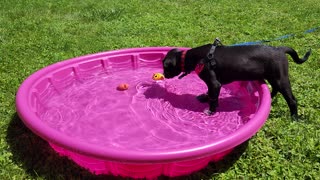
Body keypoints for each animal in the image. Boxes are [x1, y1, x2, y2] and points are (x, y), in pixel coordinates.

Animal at [162, 40, 310, 117]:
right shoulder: (213, 84)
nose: (164, 75)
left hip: (281, 79)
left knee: (292, 100)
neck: (194, 57)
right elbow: (210, 94)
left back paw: (294, 118)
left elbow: (213, 98)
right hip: (273, 77)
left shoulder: (214, 83)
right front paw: (205, 98)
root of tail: (280, 49)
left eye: (165, 67)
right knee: (274, 89)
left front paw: (211, 111)